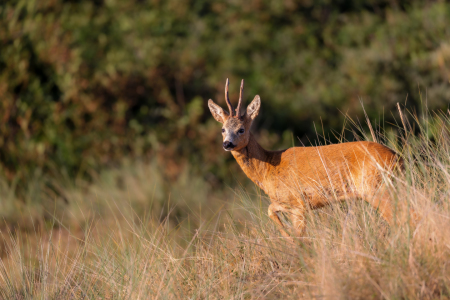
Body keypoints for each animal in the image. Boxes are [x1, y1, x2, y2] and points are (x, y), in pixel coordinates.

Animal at [208, 78, 404, 238]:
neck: (268, 167)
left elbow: (285, 223)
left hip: (376, 187)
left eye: (241, 129)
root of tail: (397, 157)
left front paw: (289, 239)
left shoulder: (297, 201)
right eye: (223, 129)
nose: (227, 144)